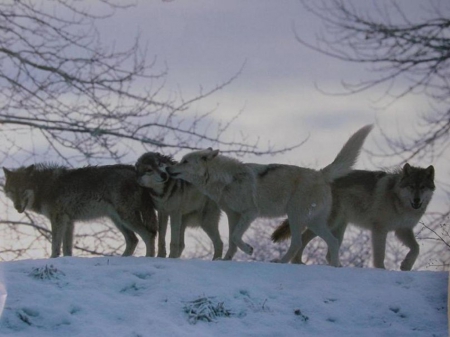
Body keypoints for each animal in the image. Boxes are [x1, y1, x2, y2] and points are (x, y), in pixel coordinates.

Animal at [2, 163, 157, 258]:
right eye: (12, 191)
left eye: (22, 191)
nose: (17, 207)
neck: (43, 186)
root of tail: (135, 172)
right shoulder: (69, 221)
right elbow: (67, 249)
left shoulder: (58, 219)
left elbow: (55, 246)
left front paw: (52, 259)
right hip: (117, 219)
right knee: (133, 240)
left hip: (125, 217)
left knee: (148, 235)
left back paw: (148, 258)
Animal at [165, 124, 372, 264]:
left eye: (184, 161)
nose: (168, 168)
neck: (226, 180)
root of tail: (320, 173)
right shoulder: (233, 215)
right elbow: (232, 240)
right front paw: (226, 260)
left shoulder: (250, 213)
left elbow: (235, 237)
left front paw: (248, 249)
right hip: (313, 222)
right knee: (333, 242)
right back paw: (335, 266)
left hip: (295, 216)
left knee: (298, 243)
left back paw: (281, 262)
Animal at [272, 163, 434, 270]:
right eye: (411, 186)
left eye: (423, 187)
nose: (417, 200)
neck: (398, 200)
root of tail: (318, 178)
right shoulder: (379, 230)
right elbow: (380, 255)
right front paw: (381, 270)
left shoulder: (403, 230)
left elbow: (416, 248)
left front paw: (406, 265)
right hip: (329, 223)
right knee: (304, 237)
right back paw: (298, 262)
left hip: (339, 227)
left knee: (328, 252)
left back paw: (338, 266)